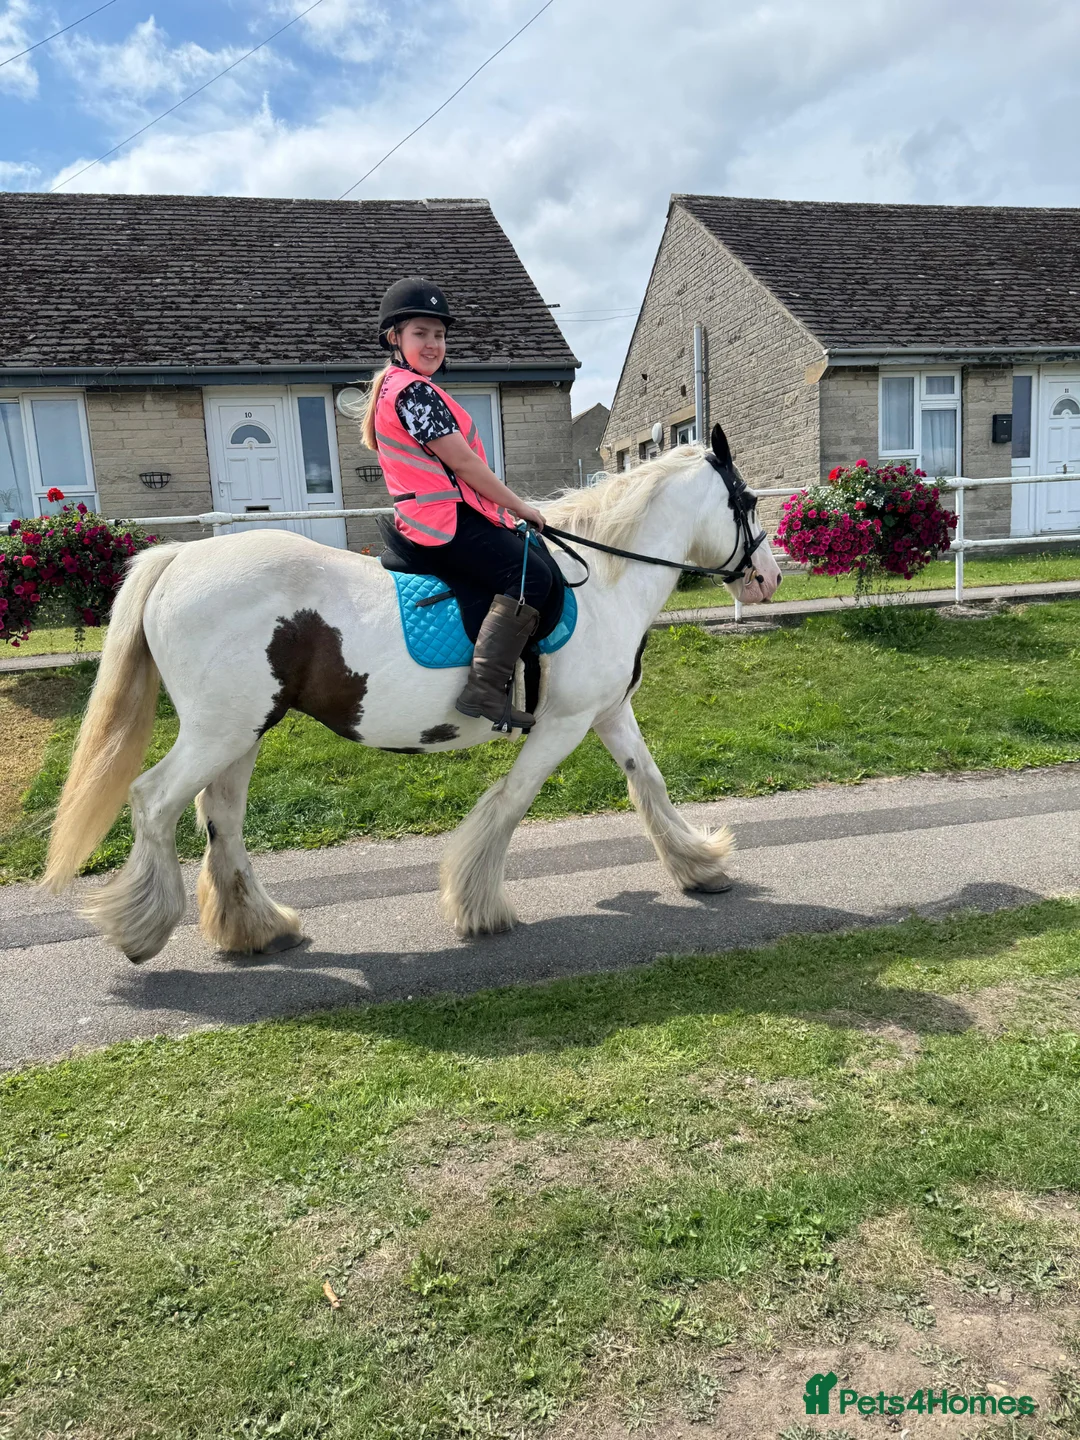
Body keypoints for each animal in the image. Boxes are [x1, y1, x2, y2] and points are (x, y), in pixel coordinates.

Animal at [41, 424, 782, 962]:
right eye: (746, 502)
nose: (770, 577)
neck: (601, 577)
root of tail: (179, 559)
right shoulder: (562, 724)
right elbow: (511, 802)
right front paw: (479, 907)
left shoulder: (607, 713)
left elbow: (648, 782)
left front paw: (699, 865)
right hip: (218, 731)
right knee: (153, 800)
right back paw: (142, 929)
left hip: (242, 730)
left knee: (220, 817)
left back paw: (256, 927)